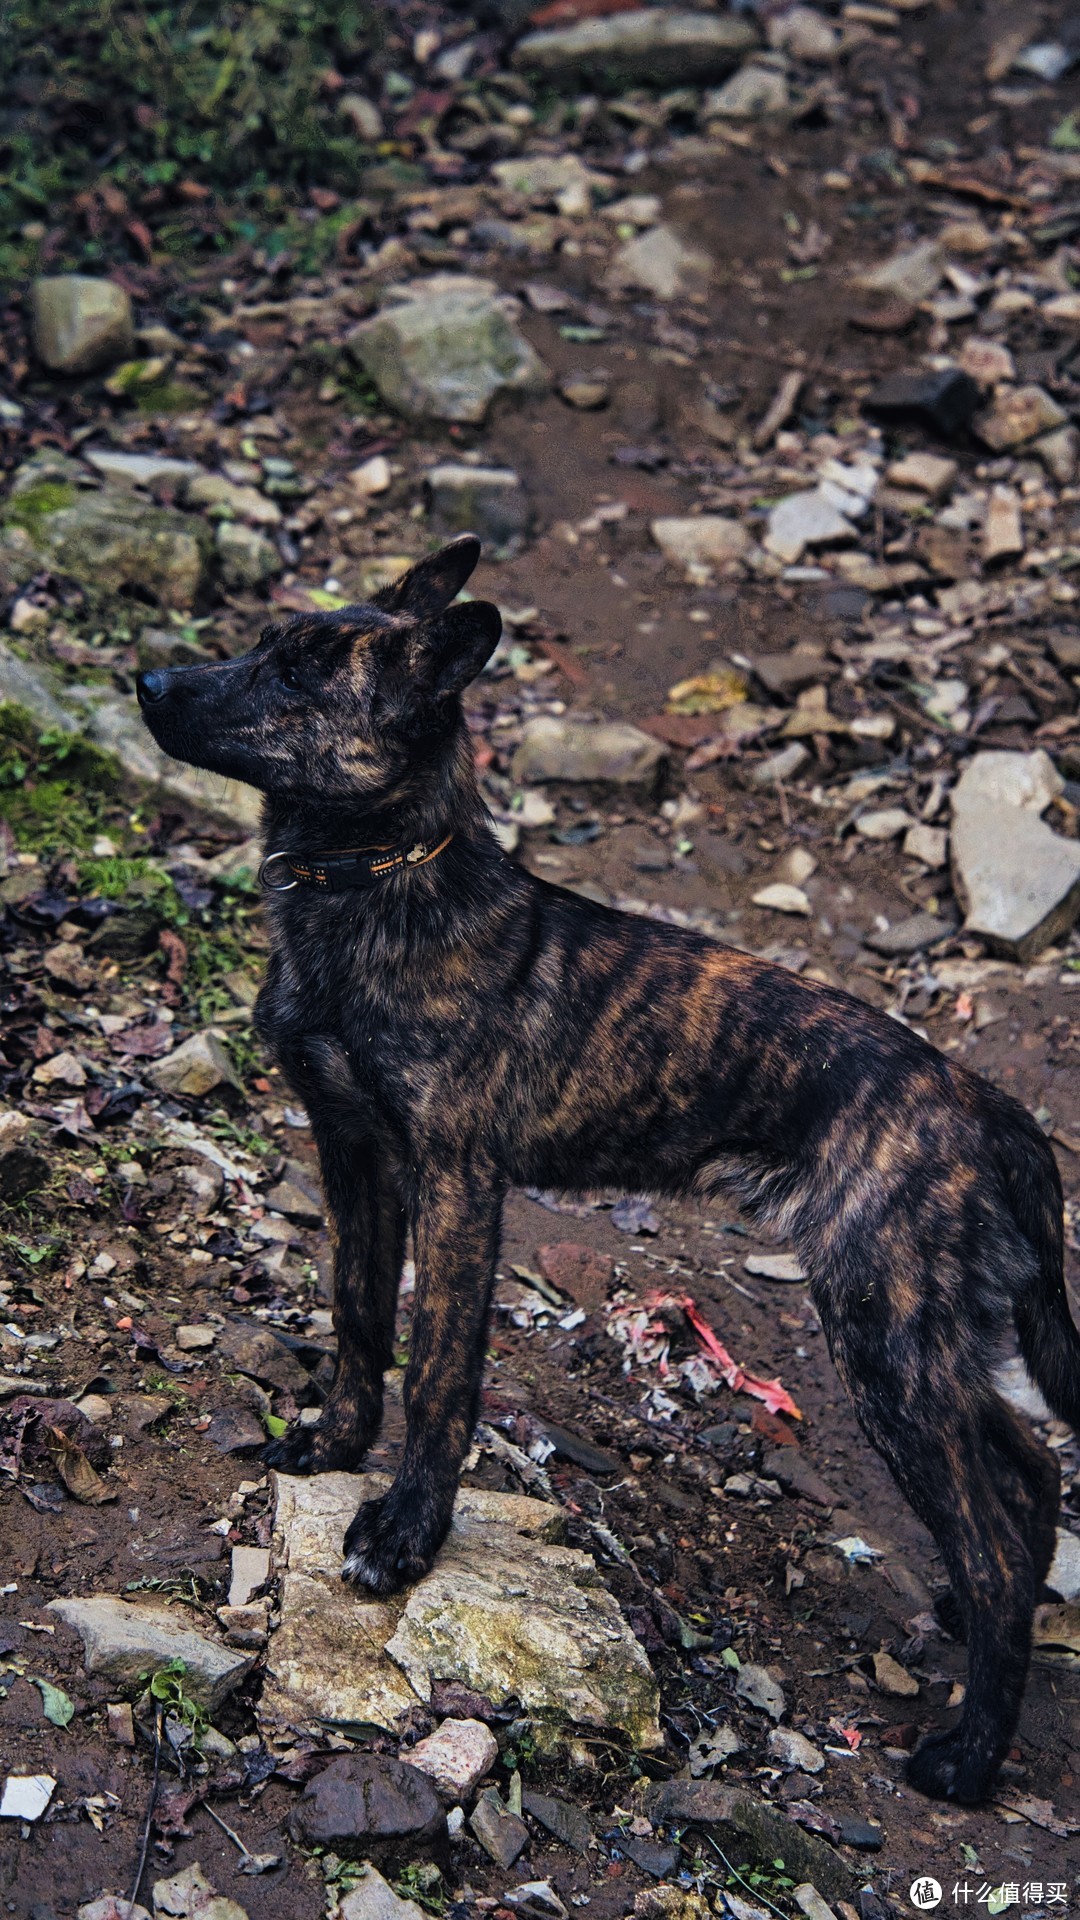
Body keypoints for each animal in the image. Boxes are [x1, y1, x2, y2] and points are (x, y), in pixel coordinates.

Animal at [138, 533, 1076, 1804]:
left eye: (296, 674)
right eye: (261, 646)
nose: (146, 683)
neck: (376, 882)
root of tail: (988, 1109)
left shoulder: (456, 1181)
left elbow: (440, 1374)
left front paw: (404, 1535)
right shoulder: (353, 1154)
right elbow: (359, 1320)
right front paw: (332, 1448)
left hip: (888, 1341)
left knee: (995, 1541)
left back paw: (972, 1753)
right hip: (928, 1342)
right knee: (1025, 1484)